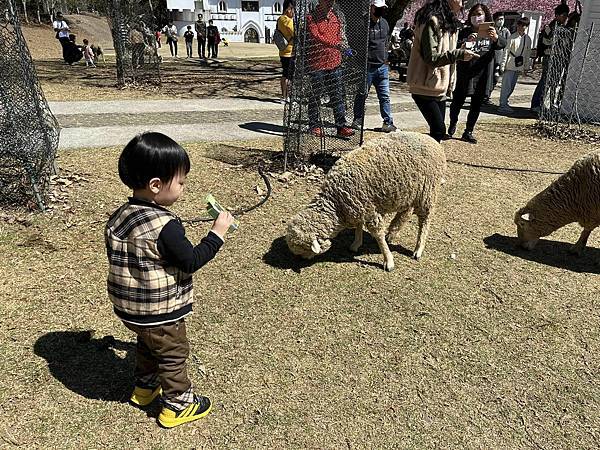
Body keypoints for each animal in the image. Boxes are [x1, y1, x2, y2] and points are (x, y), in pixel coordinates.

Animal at [284, 130, 446, 270]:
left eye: (303, 249)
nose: (301, 259)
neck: (336, 203)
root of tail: (432, 140)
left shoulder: (368, 209)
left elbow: (377, 235)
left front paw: (388, 261)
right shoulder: (358, 206)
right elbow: (358, 226)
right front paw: (356, 244)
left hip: (427, 192)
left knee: (424, 220)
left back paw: (418, 249)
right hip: (407, 192)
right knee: (405, 212)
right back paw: (392, 232)